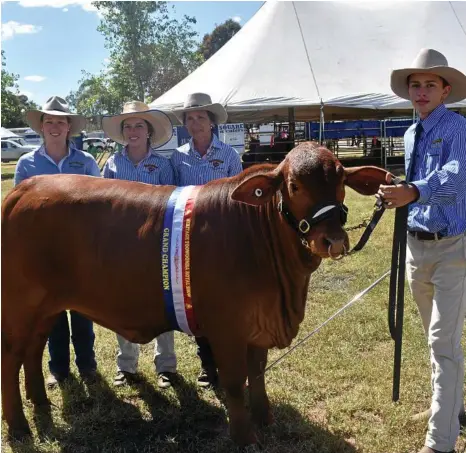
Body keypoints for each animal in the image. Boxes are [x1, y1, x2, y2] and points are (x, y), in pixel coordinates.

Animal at [1, 142, 392, 444]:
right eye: (294, 185)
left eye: (341, 180)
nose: (333, 240)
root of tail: (24, 188)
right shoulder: (228, 328)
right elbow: (234, 382)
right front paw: (244, 436)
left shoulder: (259, 323)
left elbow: (258, 374)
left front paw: (265, 418)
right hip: (19, 306)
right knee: (11, 358)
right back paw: (19, 427)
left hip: (46, 307)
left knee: (33, 351)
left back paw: (40, 403)